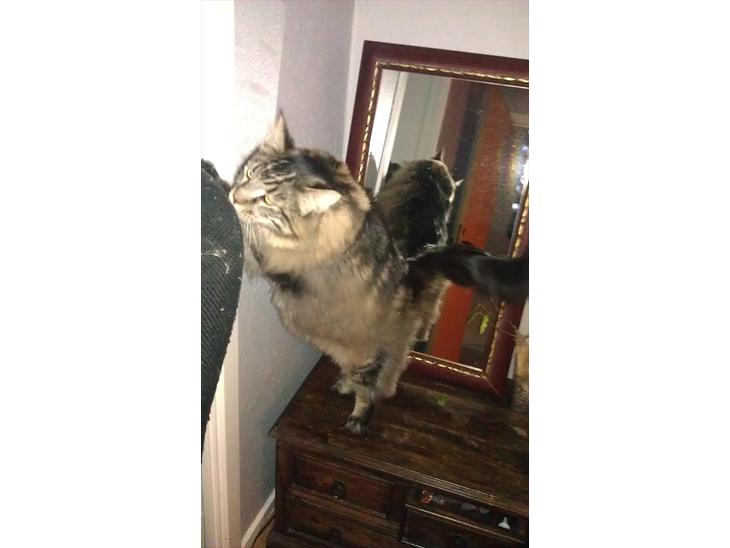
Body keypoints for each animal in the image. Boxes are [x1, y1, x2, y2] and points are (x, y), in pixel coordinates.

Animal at [229, 114, 528, 434]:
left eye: (268, 201)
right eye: (248, 174)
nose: (235, 196)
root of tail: (413, 265)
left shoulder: (284, 262)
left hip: (369, 352)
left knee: (372, 388)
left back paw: (357, 419)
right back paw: (344, 385)